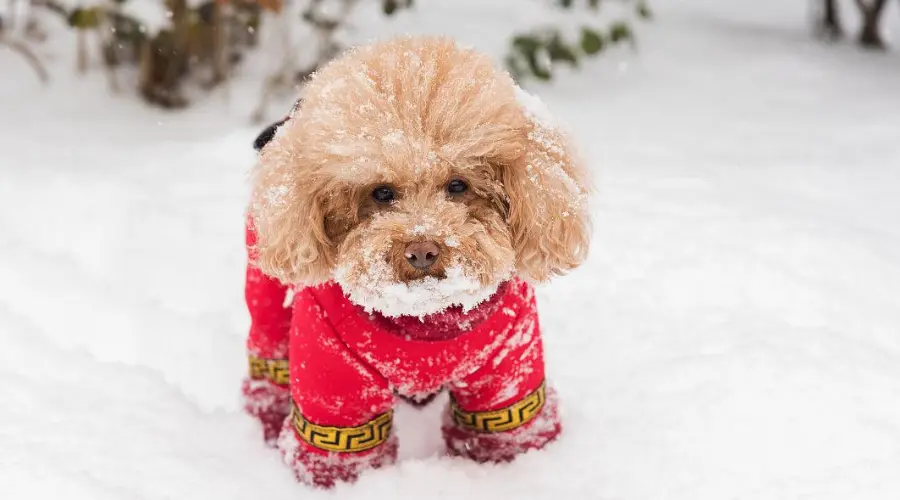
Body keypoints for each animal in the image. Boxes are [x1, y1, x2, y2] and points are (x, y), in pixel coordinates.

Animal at [241, 36, 592, 488]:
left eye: (458, 185)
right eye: (381, 192)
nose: (422, 249)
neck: (425, 319)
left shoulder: (509, 363)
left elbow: (504, 432)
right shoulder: (333, 375)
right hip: (267, 301)